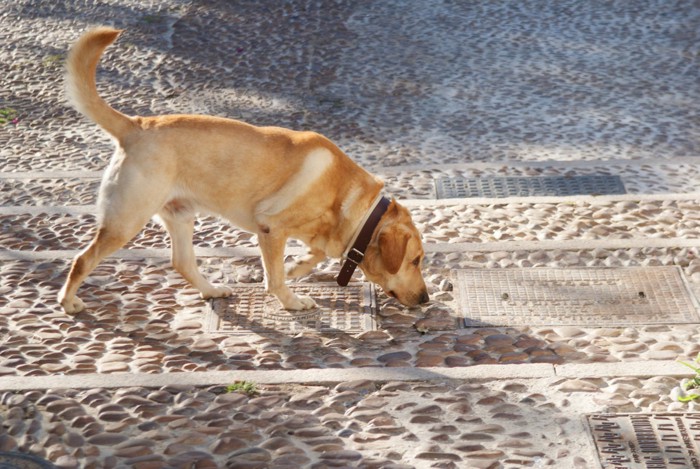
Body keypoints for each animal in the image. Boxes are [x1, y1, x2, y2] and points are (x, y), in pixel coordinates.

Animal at [60, 28, 430, 314]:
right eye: (416, 261)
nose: (427, 299)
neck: (352, 201)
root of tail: (135, 125)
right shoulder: (271, 228)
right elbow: (275, 276)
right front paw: (292, 300)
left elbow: (316, 252)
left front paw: (298, 266)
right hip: (126, 220)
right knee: (82, 260)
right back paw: (68, 302)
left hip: (180, 215)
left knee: (182, 262)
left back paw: (211, 290)